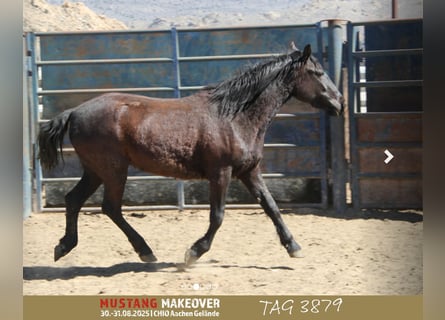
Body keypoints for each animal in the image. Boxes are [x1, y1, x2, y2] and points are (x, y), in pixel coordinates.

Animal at [38, 43, 344, 266]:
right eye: (318, 73)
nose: (339, 102)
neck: (234, 116)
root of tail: (74, 112)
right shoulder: (220, 173)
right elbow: (218, 216)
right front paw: (194, 252)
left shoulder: (249, 171)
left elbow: (271, 207)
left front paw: (294, 247)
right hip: (113, 170)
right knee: (110, 208)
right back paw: (145, 251)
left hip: (95, 171)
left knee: (74, 200)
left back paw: (63, 247)